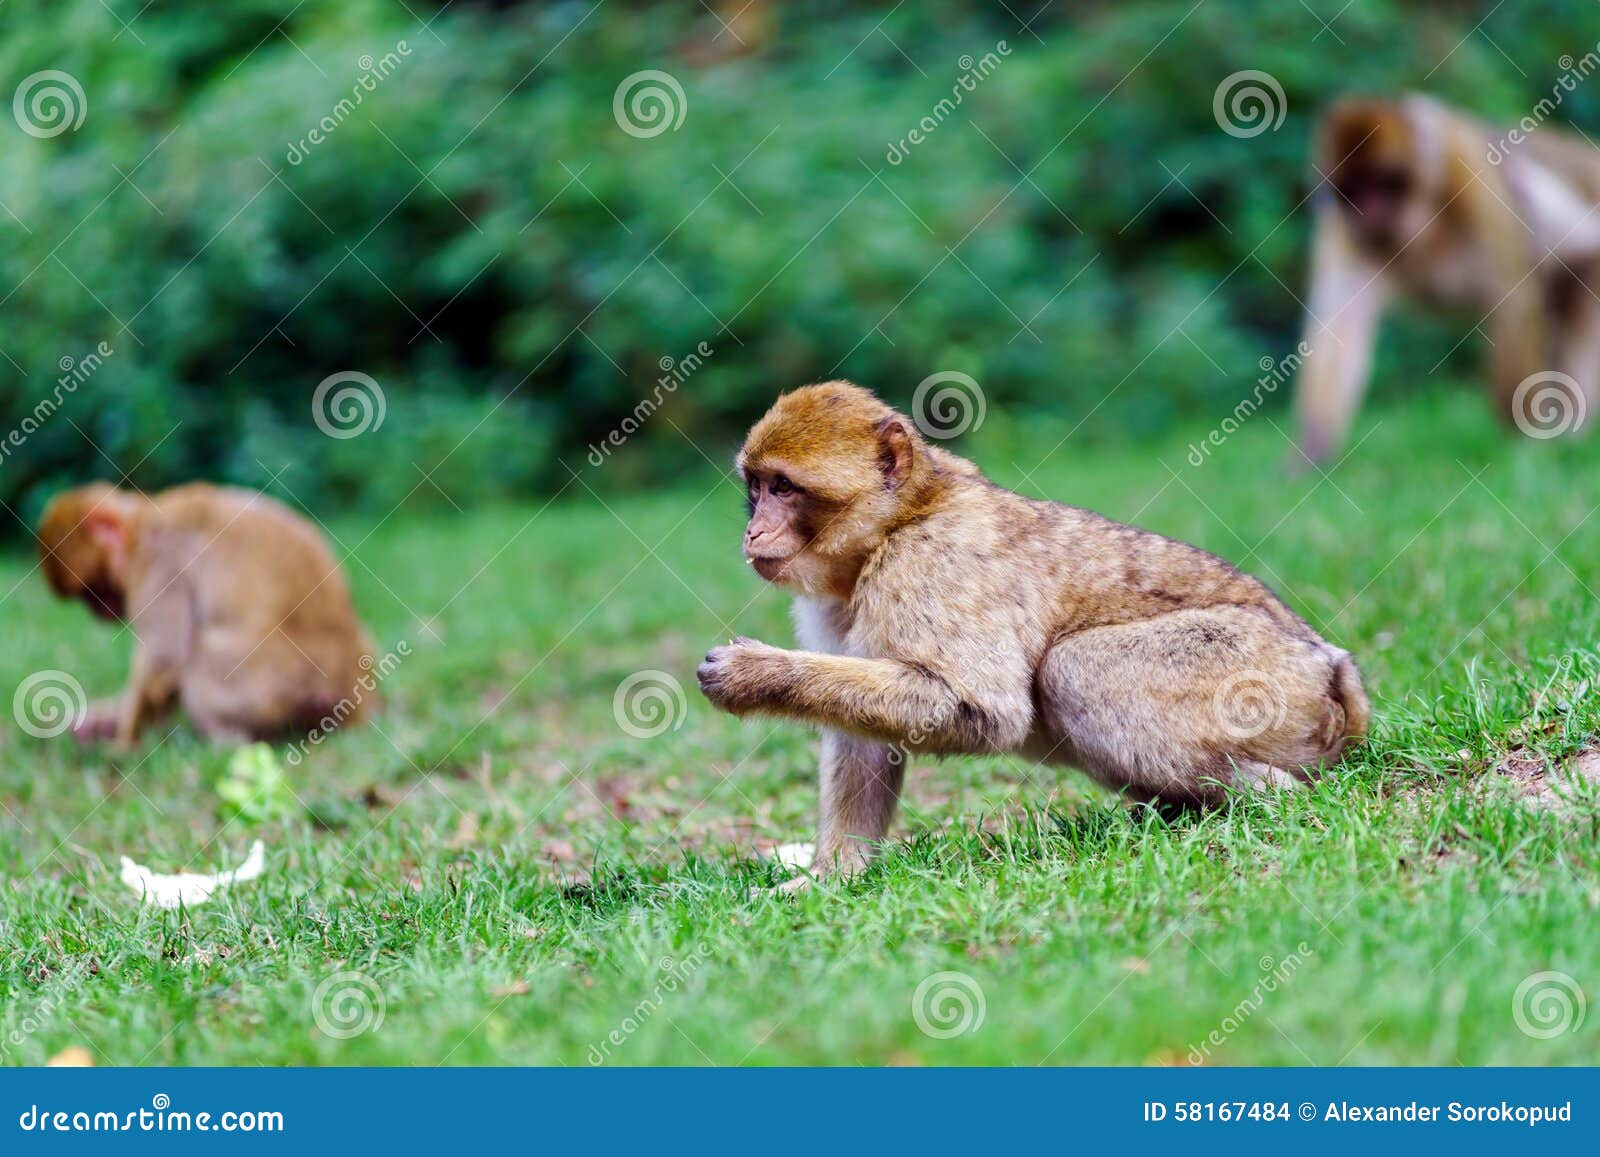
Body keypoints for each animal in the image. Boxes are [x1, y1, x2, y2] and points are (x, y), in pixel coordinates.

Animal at [38, 483, 377, 745]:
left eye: (95, 594)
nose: (101, 612)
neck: (144, 520)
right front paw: (101, 722)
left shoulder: (162, 562)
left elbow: (165, 657)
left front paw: (122, 745)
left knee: (198, 662)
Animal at [694, 384, 1369, 883]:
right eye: (755, 489)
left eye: (784, 487)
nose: (754, 531)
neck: (894, 525)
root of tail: (1329, 664)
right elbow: (864, 741)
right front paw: (834, 876)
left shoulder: (932, 561)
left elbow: (981, 707)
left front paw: (756, 676)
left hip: (1263, 678)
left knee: (1074, 670)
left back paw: (1266, 793)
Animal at [1292, 94, 1600, 467]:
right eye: (1354, 192)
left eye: (1385, 183)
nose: (1371, 215)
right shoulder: (1341, 228)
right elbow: (1337, 333)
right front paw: (1310, 455)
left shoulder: (1470, 173)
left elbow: (1513, 303)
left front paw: (1520, 444)